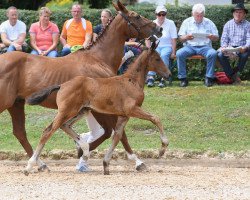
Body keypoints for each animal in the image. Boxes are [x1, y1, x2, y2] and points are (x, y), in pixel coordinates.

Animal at [24, 44, 171, 175]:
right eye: (157, 58)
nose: (168, 74)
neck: (131, 81)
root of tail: (62, 85)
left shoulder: (124, 116)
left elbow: (117, 136)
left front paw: (106, 164)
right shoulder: (132, 109)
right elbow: (155, 118)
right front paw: (162, 148)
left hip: (80, 111)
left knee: (65, 126)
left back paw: (84, 150)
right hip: (67, 111)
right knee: (48, 131)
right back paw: (29, 167)